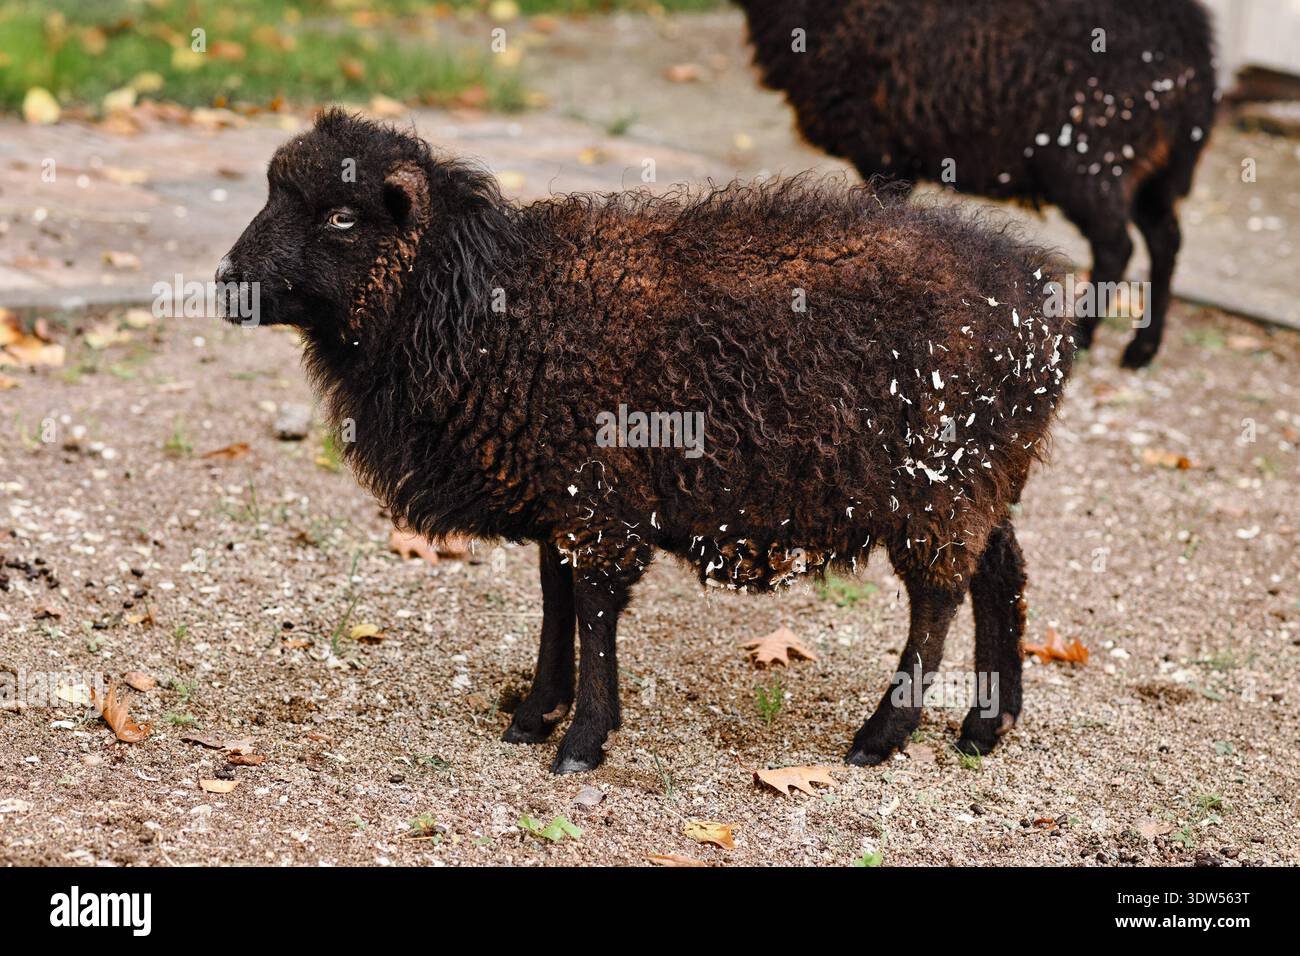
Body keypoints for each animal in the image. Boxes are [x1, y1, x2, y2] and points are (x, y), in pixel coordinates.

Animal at [215, 110, 1074, 773]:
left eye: (341, 216)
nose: (227, 283)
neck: (483, 306)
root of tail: (1040, 296)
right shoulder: (560, 494)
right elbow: (556, 601)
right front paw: (536, 713)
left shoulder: (598, 498)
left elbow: (594, 611)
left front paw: (581, 741)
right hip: (978, 469)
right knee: (1001, 569)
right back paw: (987, 726)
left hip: (940, 478)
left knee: (939, 595)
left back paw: (882, 735)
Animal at [736, 0, 1217, 368]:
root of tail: (1196, 53)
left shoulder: (885, 152)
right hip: (1150, 170)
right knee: (1165, 238)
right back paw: (1142, 348)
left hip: (1094, 158)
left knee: (1117, 247)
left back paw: (1081, 336)